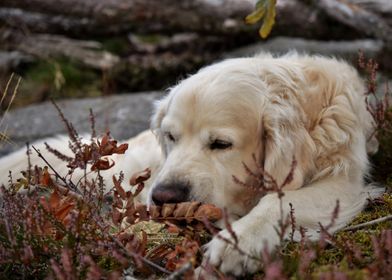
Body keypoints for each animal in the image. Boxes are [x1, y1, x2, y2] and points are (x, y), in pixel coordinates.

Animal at [0, 53, 380, 276]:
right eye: (171, 136)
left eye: (221, 144)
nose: (166, 197)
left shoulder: (343, 179)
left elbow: (283, 199)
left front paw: (240, 241)